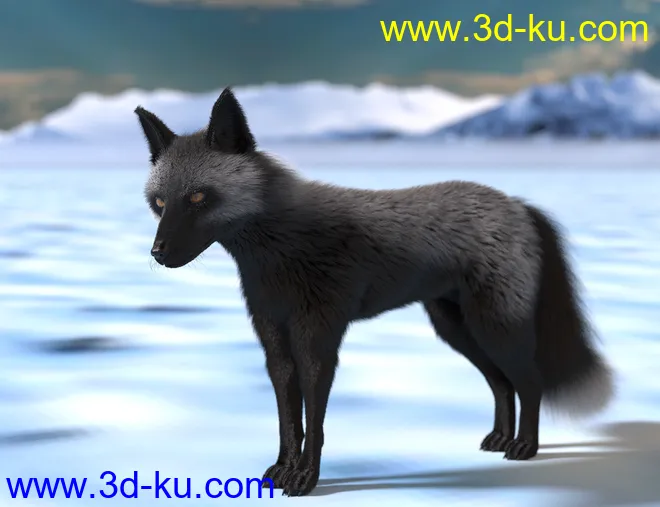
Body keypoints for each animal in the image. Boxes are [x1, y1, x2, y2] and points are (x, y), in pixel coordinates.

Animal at [134, 87, 614, 497]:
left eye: (198, 198)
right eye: (159, 203)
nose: (157, 253)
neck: (275, 251)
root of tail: (518, 203)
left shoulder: (318, 339)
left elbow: (314, 420)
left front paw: (305, 478)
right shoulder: (275, 341)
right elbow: (289, 419)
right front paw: (282, 469)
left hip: (495, 326)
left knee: (528, 382)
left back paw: (525, 447)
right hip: (457, 329)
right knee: (501, 384)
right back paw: (499, 439)